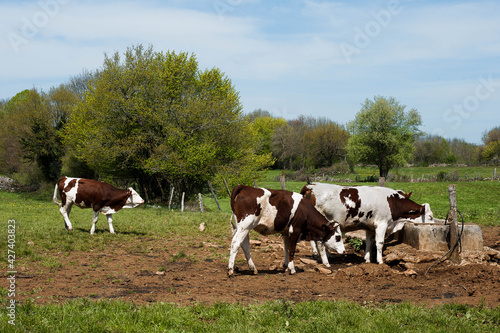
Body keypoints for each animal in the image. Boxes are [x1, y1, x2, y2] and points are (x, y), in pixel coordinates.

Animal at [300, 182, 434, 264]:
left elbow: (369, 243)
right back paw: (324, 257)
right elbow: (379, 243)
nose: (433, 228)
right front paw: (380, 261)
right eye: (430, 216)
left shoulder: (370, 227)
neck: (392, 202)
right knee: (317, 241)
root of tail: (310, 185)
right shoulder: (382, 224)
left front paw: (367, 260)